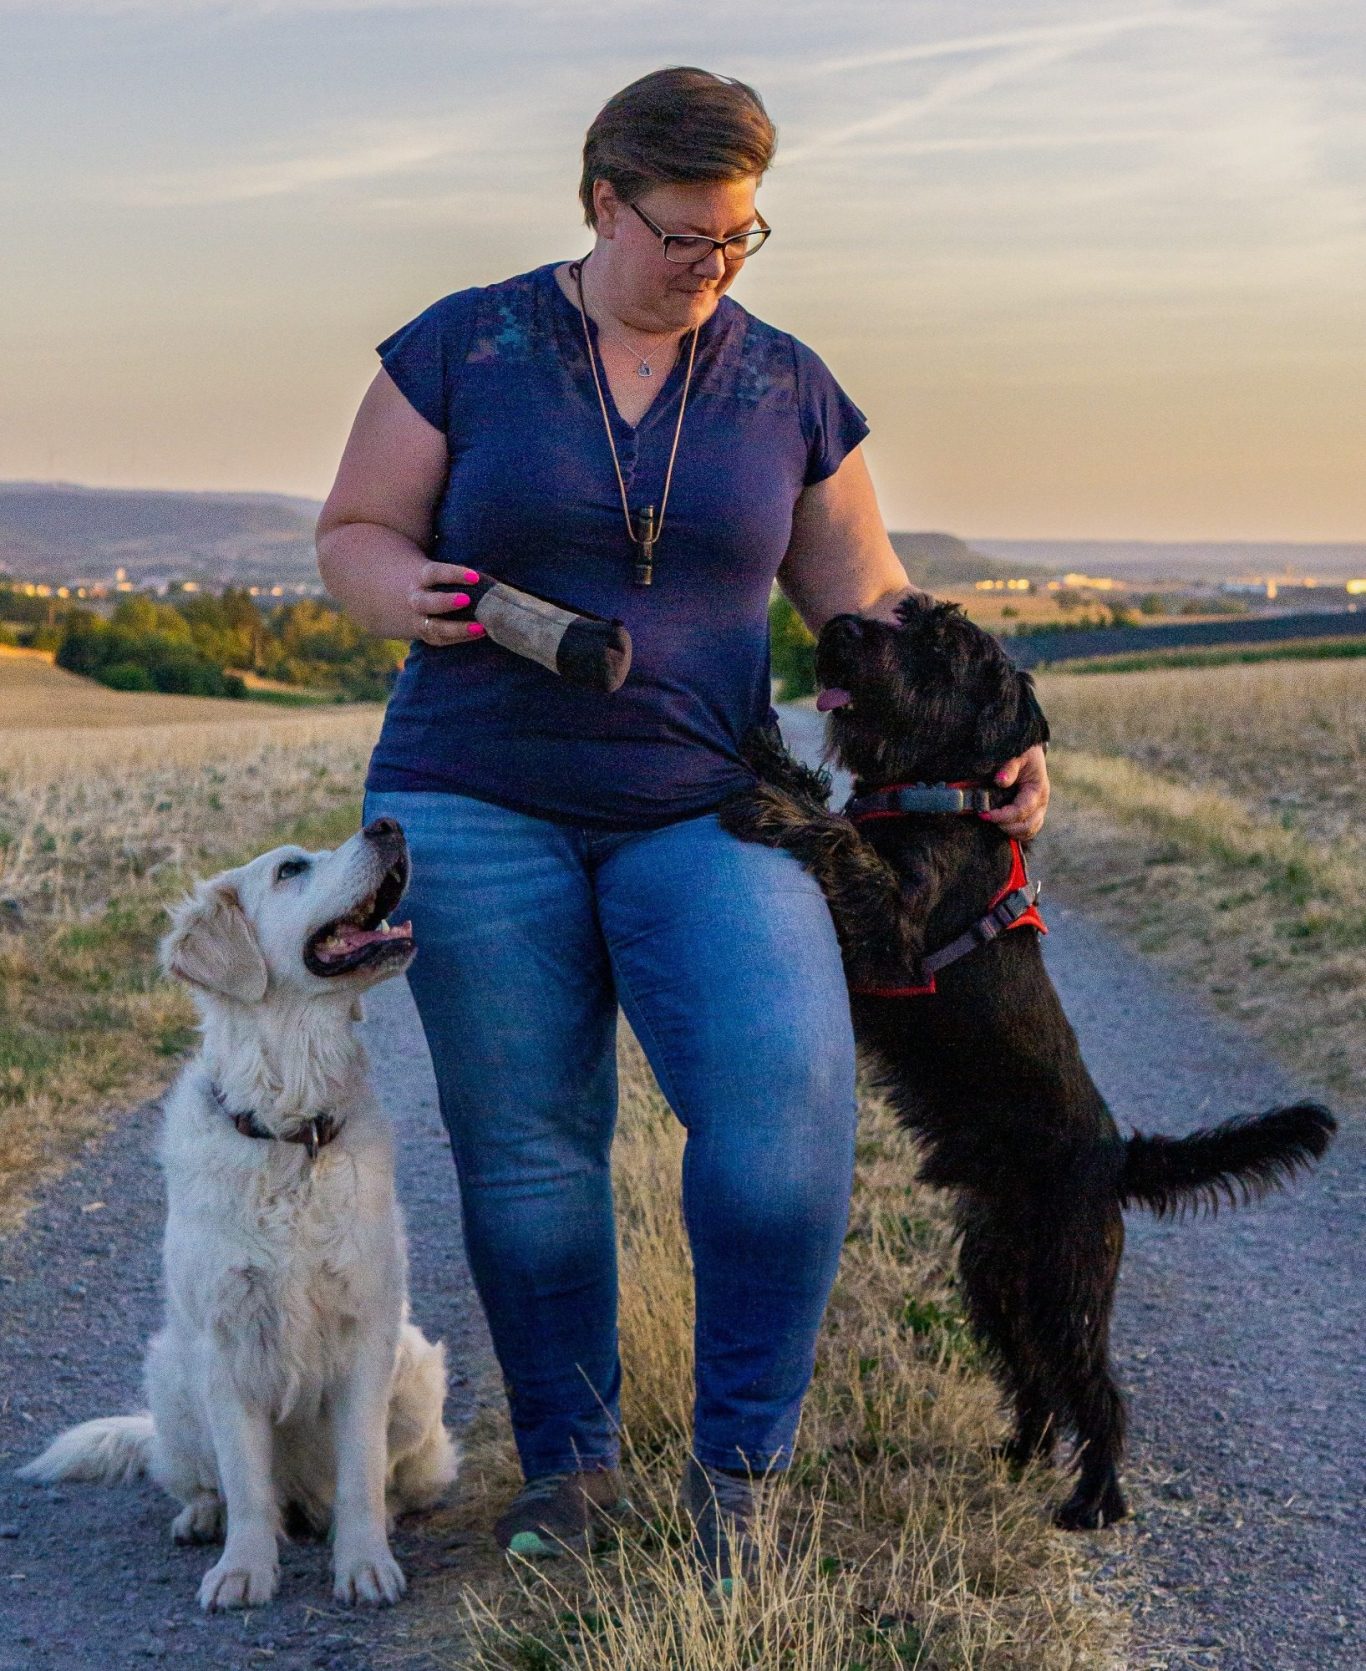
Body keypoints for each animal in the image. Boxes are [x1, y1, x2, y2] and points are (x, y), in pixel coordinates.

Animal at [20, 818, 459, 1609]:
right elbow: (247, 1481)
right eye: (290, 869)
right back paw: (201, 1518)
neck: (290, 1131)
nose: (388, 825)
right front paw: (245, 1568)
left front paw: (364, 1562)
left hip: (415, 1367)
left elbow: (360, 1473)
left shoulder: (368, 1332)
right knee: (204, 1481)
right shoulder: (223, 1341)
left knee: (389, 1478)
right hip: (172, 1372)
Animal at [720, 597, 1335, 1529]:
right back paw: (1022, 1449)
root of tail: (1118, 1157)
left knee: (1099, 1392)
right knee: (1035, 1374)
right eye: (900, 613)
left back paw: (1094, 1499)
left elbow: (842, 842)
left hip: (1063, 1282)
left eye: (939, 645)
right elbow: (834, 807)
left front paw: (770, 802)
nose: (839, 628)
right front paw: (772, 757)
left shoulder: (894, 933)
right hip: (995, 1275)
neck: (941, 796)